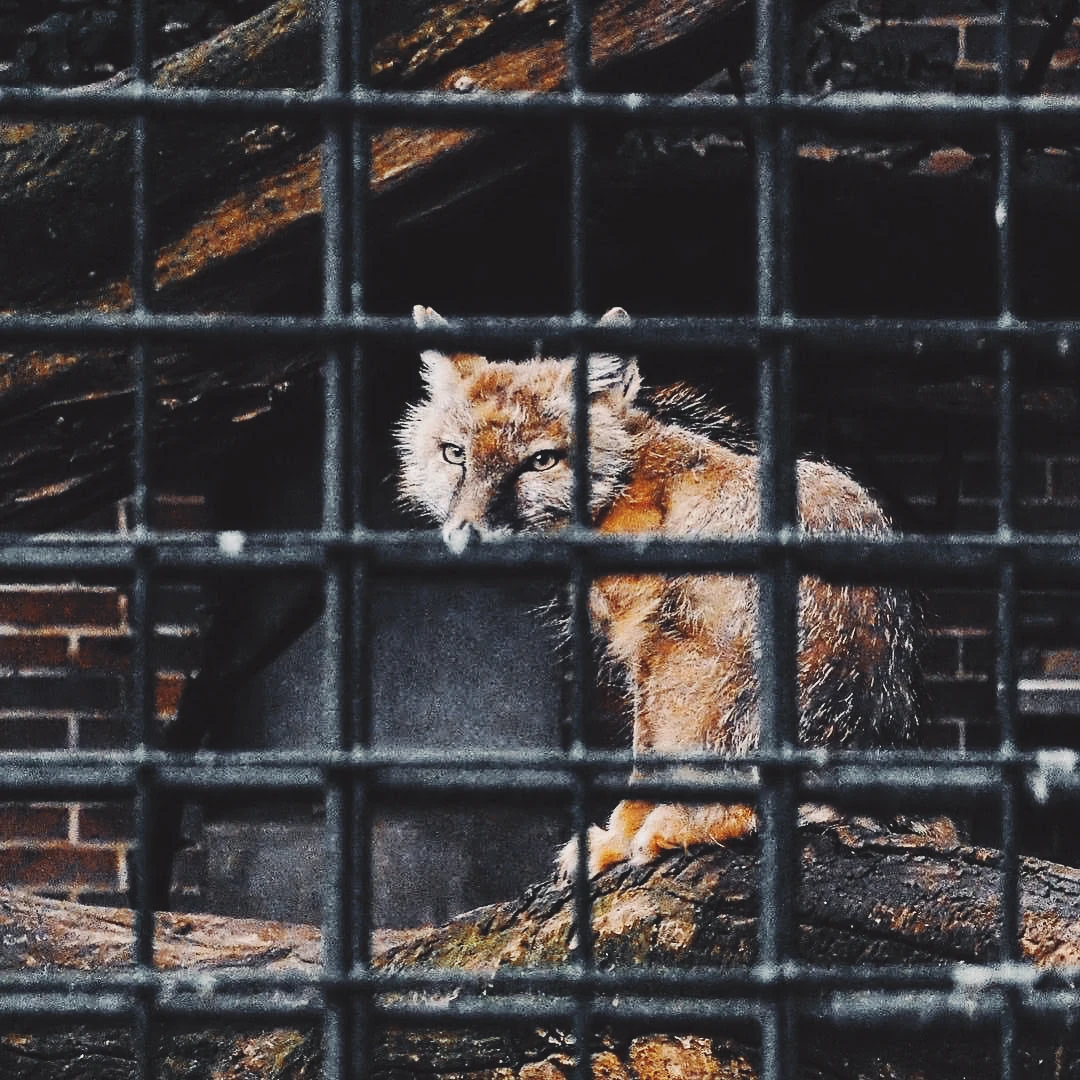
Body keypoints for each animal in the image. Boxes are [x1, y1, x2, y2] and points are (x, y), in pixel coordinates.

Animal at [397, 304, 931, 880]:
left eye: (541, 461)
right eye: (455, 455)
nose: (466, 533)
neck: (621, 487)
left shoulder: (646, 645)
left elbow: (643, 759)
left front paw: (616, 837)